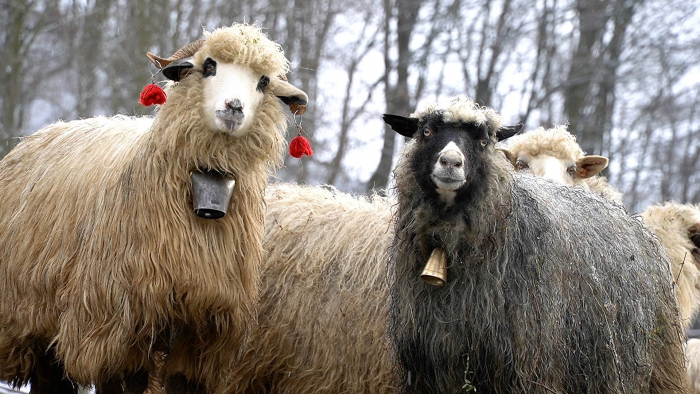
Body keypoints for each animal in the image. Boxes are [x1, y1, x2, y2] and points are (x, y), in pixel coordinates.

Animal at [0, 23, 308, 394]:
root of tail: (43, 131)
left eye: (263, 81)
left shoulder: (200, 334)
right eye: (209, 66)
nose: (234, 106)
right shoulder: (114, 327)